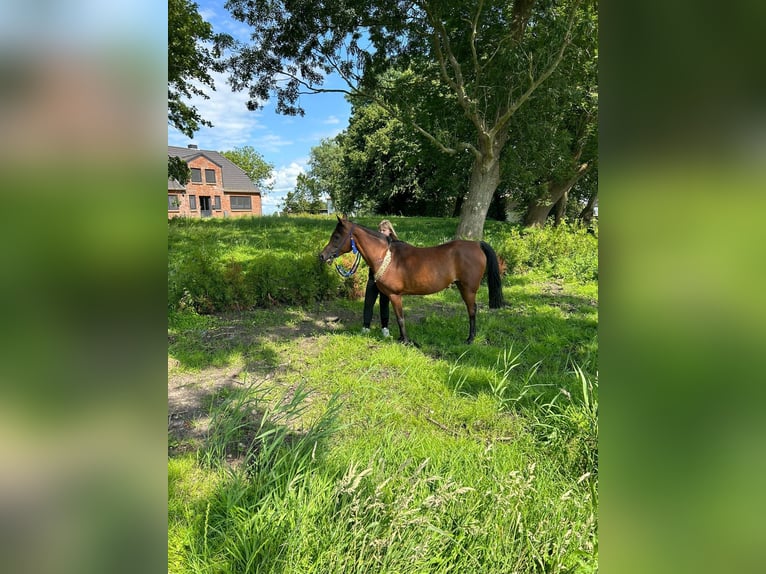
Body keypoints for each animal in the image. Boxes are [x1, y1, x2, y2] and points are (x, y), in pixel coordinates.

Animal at [320, 219, 508, 346]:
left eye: (337, 236)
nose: (322, 255)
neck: (386, 256)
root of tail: (476, 244)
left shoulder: (395, 295)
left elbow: (400, 318)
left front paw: (405, 341)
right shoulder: (387, 294)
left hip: (468, 289)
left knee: (472, 311)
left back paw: (470, 339)